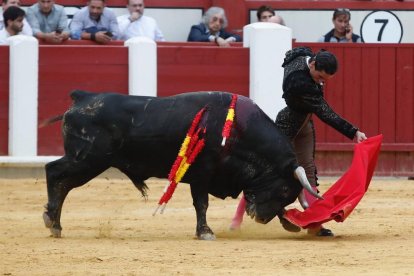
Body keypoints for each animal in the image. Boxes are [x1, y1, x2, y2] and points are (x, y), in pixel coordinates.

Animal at [42, 90, 320, 239]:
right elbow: (202, 203)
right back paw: (52, 222)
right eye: (284, 189)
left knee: (62, 183)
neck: (238, 132)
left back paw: (56, 224)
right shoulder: (202, 173)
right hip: (87, 159)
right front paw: (205, 232)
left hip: (87, 161)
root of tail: (82, 98)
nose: (260, 218)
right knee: (54, 173)